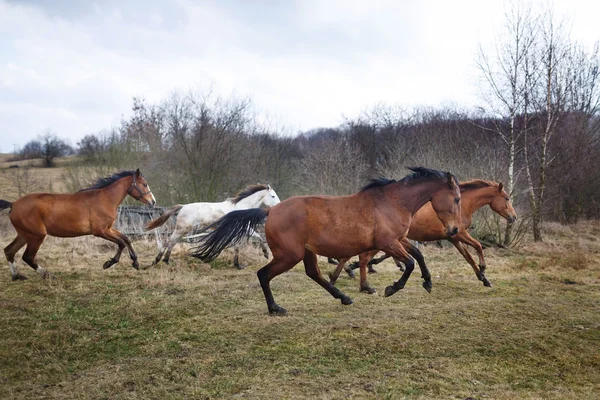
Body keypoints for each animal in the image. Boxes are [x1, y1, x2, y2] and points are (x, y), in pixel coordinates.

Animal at [1, 170, 156, 282]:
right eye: (144, 184)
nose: (153, 201)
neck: (104, 199)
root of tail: (13, 204)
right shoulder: (100, 231)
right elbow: (121, 243)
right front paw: (109, 263)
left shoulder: (108, 229)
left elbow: (126, 239)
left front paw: (135, 262)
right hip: (36, 236)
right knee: (27, 257)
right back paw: (48, 275)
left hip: (24, 235)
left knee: (9, 251)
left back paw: (17, 276)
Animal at [144, 184, 280, 268]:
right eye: (273, 196)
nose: (279, 206)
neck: (242, 208)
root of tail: (183, 206)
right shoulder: (244, 229)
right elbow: (258, 238)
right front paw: (265, 254)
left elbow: (239, 246)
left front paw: (238, 265)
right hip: (182, 229)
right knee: (170, 241)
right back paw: (159, 260)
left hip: (183, 230)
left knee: (172, 242)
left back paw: (165, 260)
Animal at [191, 167, 460, 314]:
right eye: (457, 198)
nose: (455, 229)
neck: (392, 202)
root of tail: (271, 211)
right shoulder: (388, 242)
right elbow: (410, 264)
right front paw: (392, 288)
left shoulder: (397, 239)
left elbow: (418, 256)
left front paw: (427, 282)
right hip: (289, 255)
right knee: (264, 274)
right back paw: (276, 309)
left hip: (306, 252)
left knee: (314, 274)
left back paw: (344, 297)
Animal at [328, 180, 516, 290]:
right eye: (507, 198)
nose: (514, 217)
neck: (462, 206)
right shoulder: (459, 234)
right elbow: (477, 246)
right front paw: (483, 270)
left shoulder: (453, 237)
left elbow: (468, 257)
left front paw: (483, 278)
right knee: (362, 257)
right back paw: (349, 276)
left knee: (357, 256)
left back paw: (340, 276)